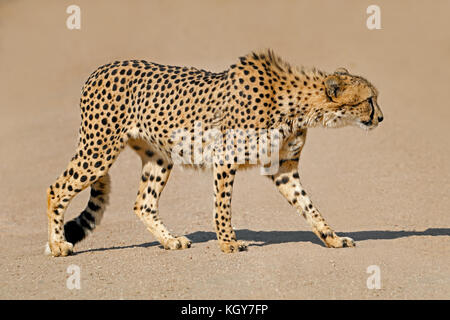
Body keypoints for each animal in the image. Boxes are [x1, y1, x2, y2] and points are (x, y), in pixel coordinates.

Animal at [44, 48, 384, 256]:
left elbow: (309, 207)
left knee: (143, 203)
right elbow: (223, 206)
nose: (381, 118)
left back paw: (170, 240)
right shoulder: (225, 157)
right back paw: (58, 245)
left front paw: (332, 238)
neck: (299, 106)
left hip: (158, 156)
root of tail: (102, 68)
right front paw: (228, 243)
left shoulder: (284, 169)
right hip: (99, 150)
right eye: (369, 100)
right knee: (56, 188)